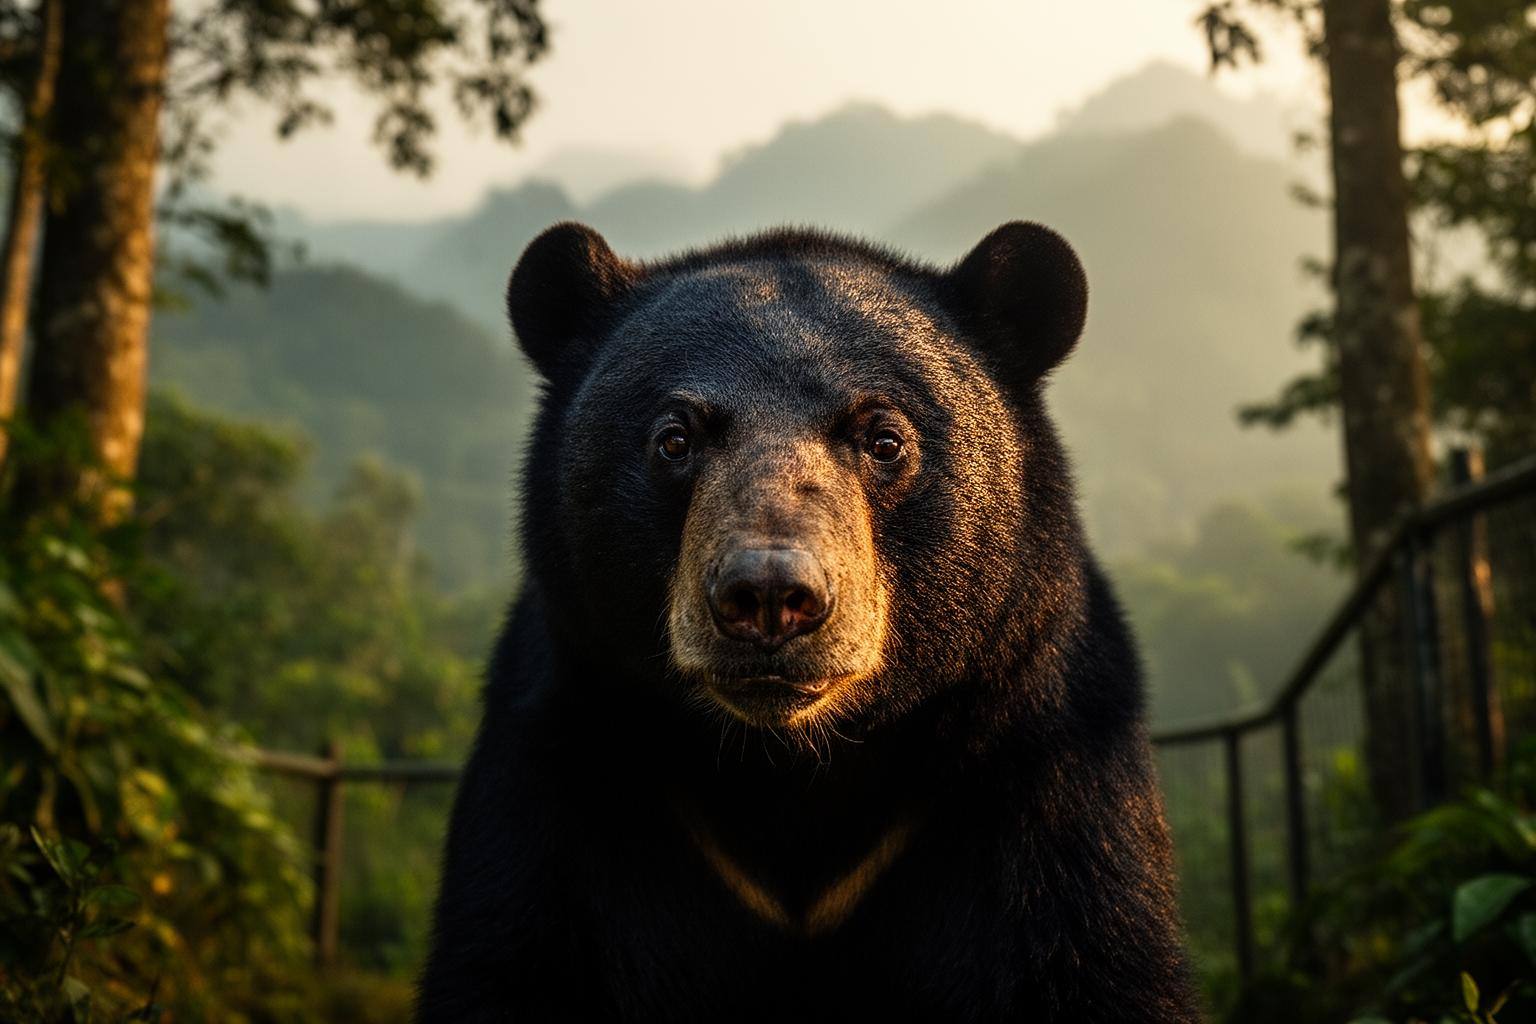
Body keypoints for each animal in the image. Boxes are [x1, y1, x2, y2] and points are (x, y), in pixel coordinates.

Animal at [417, 221, 1199, 1022]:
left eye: (884, 440)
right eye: (675, 438)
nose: (768, 596)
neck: (789, 774)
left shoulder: (1044, 769)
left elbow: (1089, 953)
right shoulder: (558, 773)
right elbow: (511, 952)